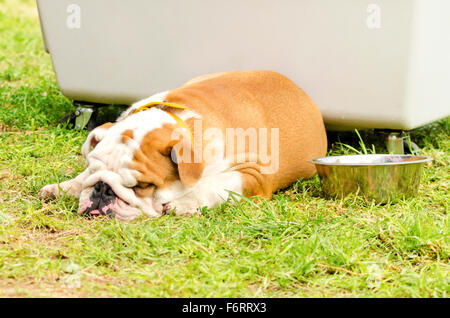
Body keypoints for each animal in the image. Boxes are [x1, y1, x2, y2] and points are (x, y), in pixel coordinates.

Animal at [38, 71, 326, 221]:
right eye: (92, 169)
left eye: (144, 186)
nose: (102, 189)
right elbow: (79, 180)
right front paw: (65, 187)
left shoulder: (253, 174)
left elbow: (213, 186)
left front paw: (183, 202)